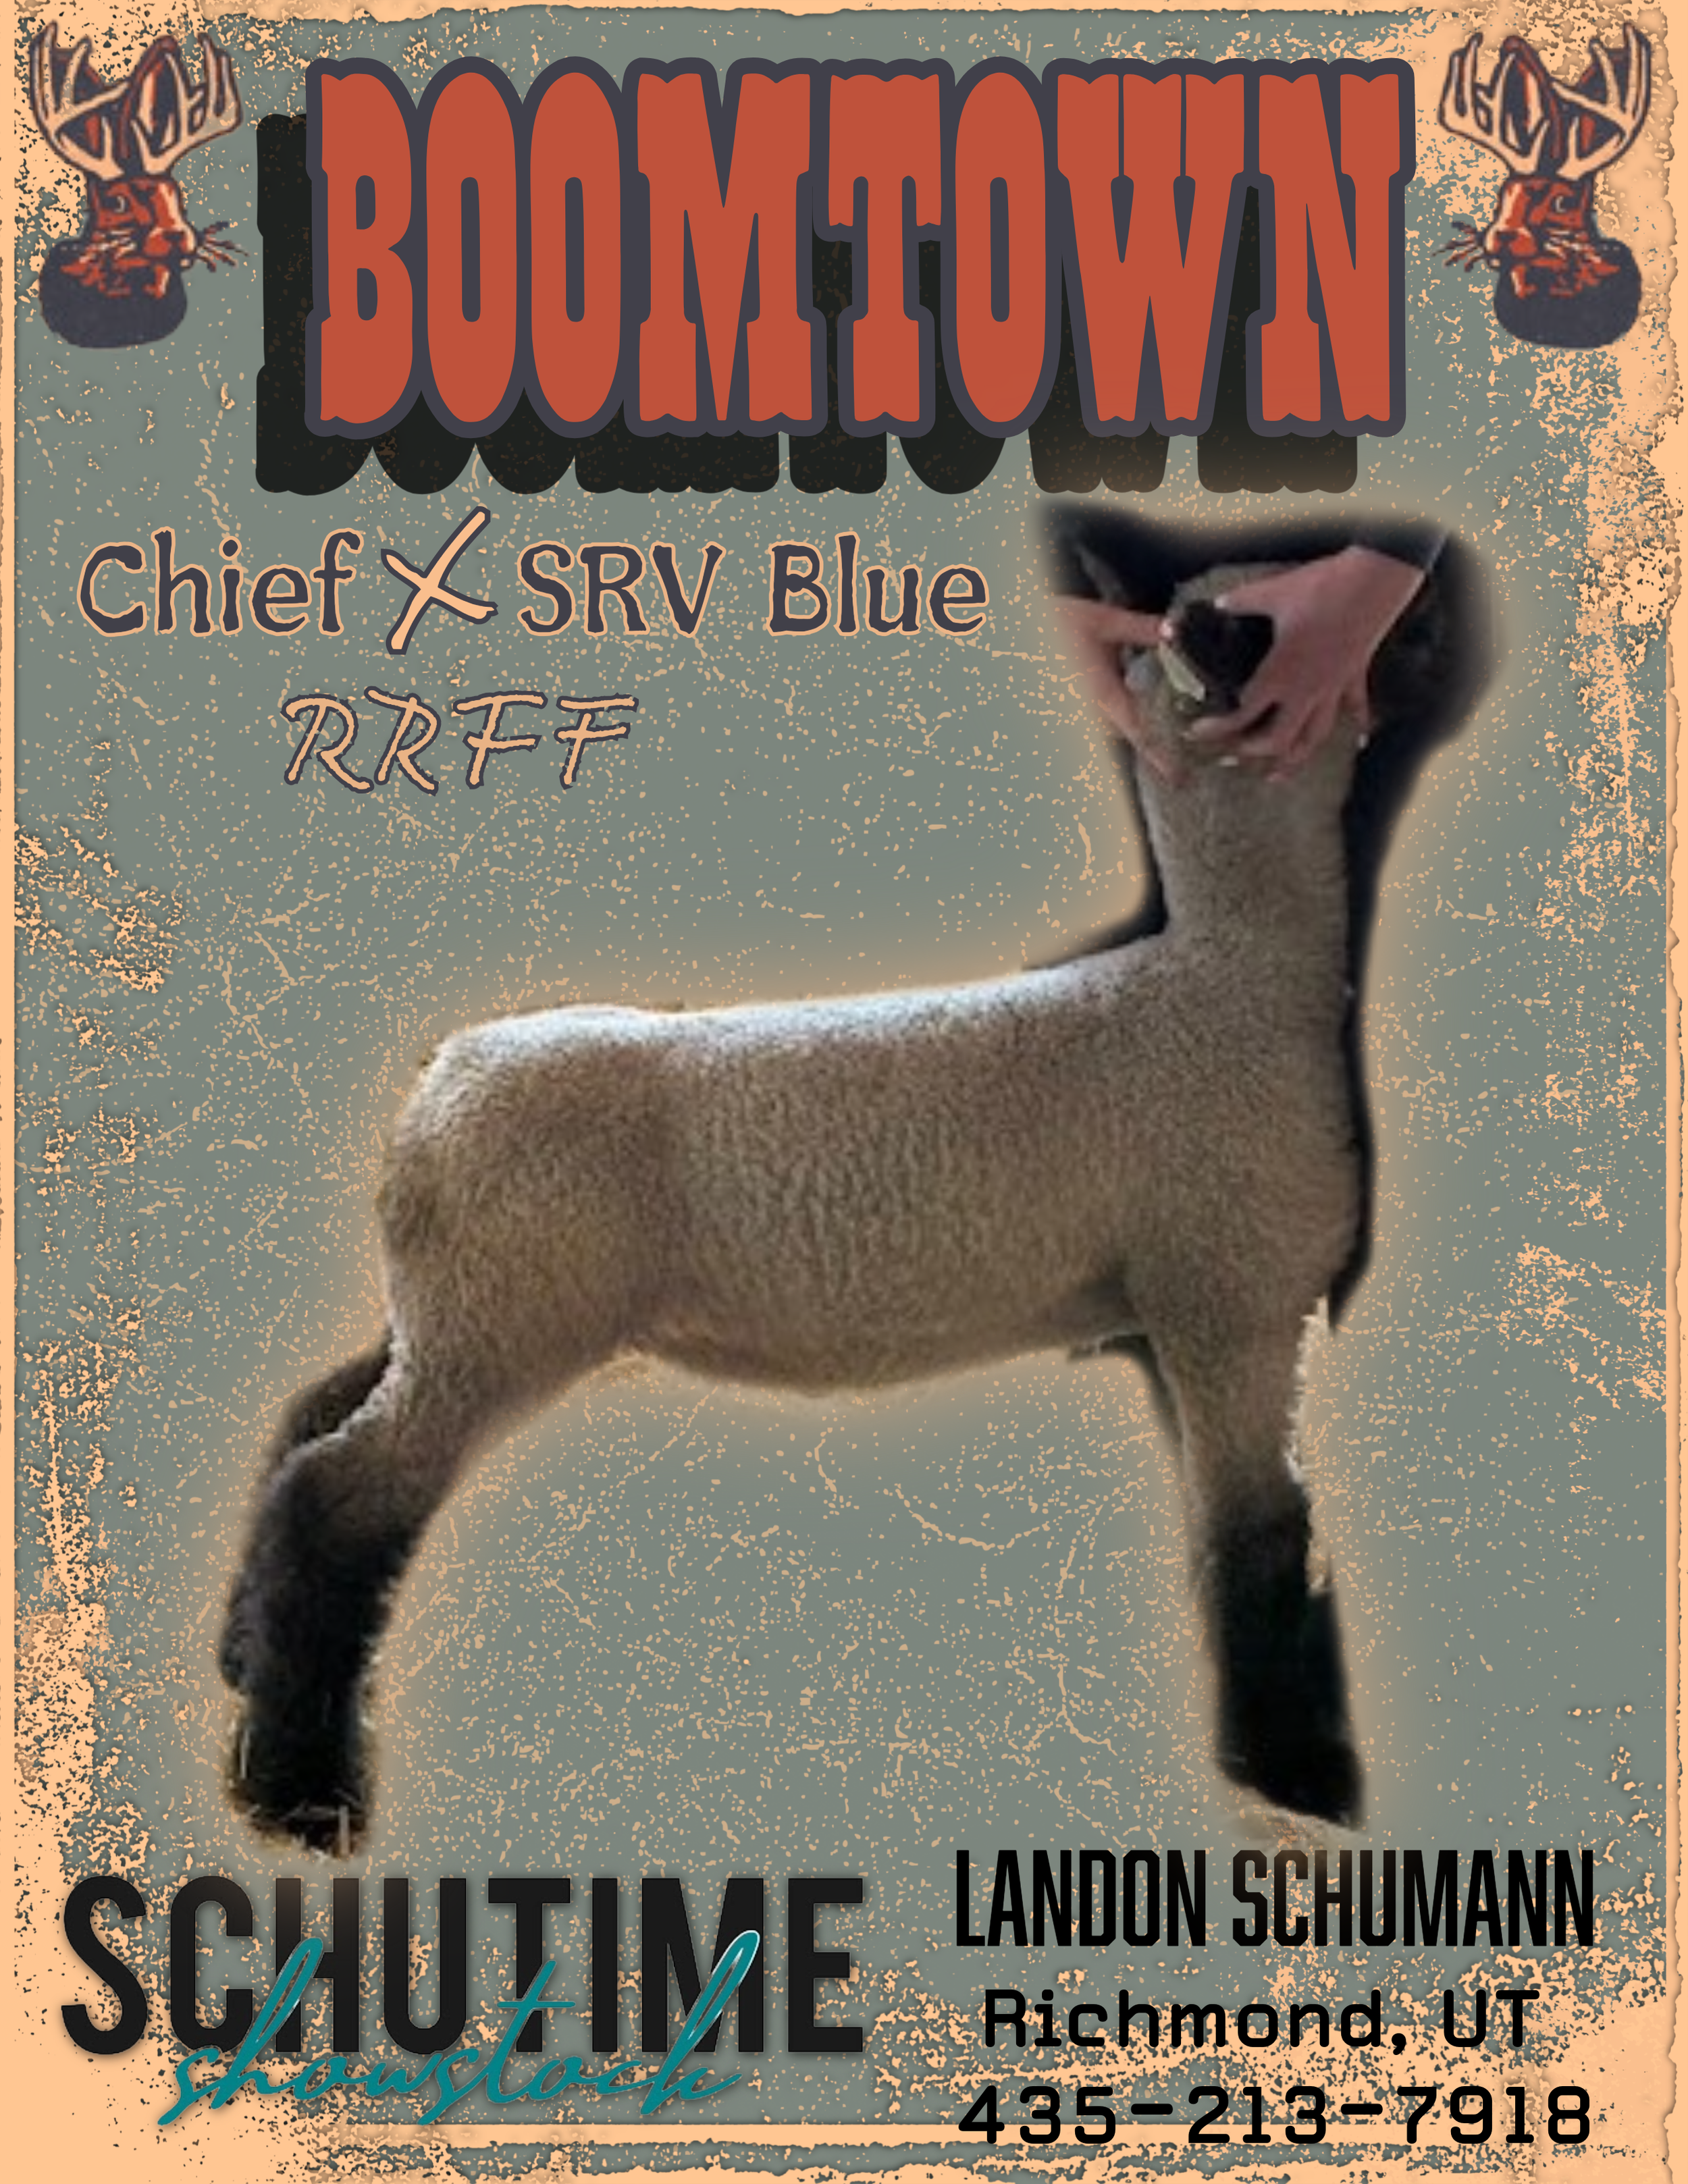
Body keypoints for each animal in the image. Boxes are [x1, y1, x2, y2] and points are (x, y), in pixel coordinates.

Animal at [220, 555, 1473, 1854]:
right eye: (1273, 624)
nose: (1427, 609)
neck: (1225, 987)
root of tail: (439, 1085)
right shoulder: (1231, 1302)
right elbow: (1263, 1540)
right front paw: (1304, 1774)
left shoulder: (1189, 1312)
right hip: (503, 1318)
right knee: (334, 1500)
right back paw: (303, 1792)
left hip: (450, 1310)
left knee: (311, 1419)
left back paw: (242, 1664)